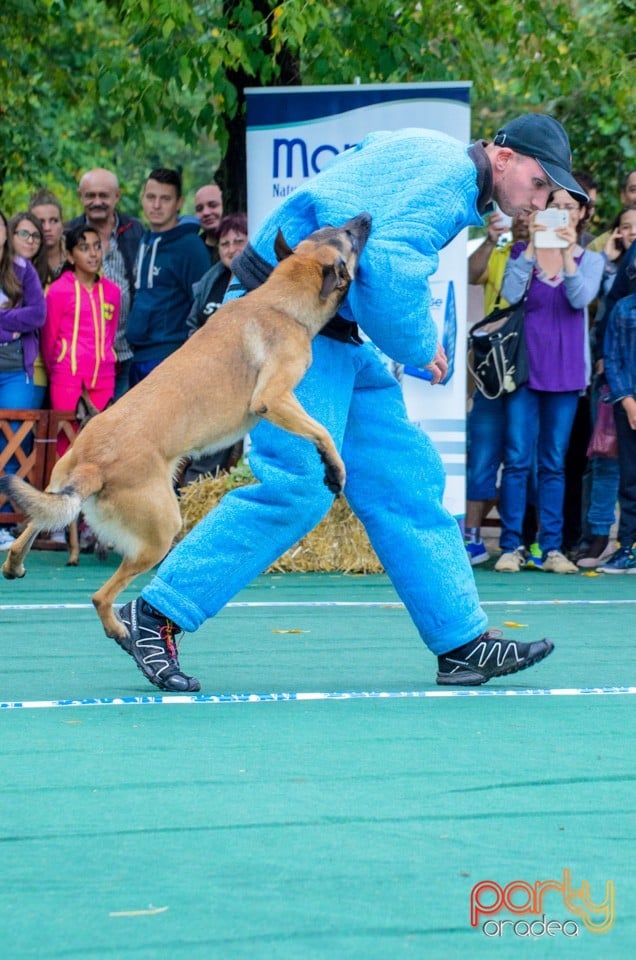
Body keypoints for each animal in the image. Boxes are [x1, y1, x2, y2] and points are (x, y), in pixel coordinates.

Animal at [1, 214, 372, 640]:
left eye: (334, 229)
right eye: (348, 237)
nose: (365, 218)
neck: (280, 299)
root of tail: (92, 467)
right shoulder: (272, 398)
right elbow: (321, 432)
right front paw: (334, 469)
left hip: (58, 485)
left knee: (32, 528)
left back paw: (15, 565)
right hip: (161, 532)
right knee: (100, 595)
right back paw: (119, 630)